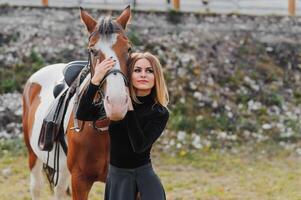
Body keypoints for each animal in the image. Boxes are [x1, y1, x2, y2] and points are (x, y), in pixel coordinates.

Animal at [21, 6, 132, 200]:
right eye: (93, 51)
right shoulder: (80, 180)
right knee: (36, 188)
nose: (117, 102)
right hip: (33, 155)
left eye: (128, 48)